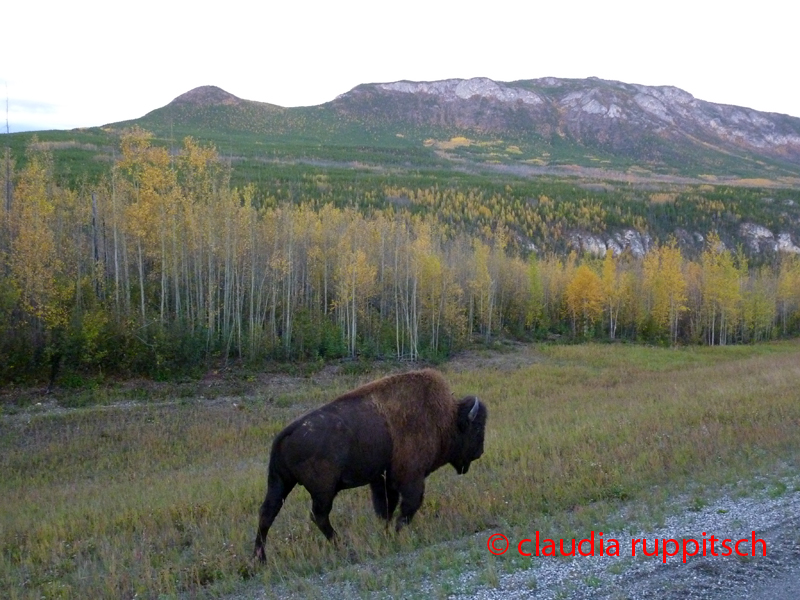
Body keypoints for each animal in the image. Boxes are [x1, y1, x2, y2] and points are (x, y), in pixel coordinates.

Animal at [253, 368, 484, 560]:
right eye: (475, 429)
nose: (479, 452)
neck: (444, 417)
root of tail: (286, 433)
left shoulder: (382, 480)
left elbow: (385, 509)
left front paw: (387, 533)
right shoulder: (410, 477)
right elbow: (408, 505)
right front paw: (398, 532)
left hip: (280, 483)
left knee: (267, 513)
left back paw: (260, 559)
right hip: (323, 490)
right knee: (318, 515)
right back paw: (341, 545)